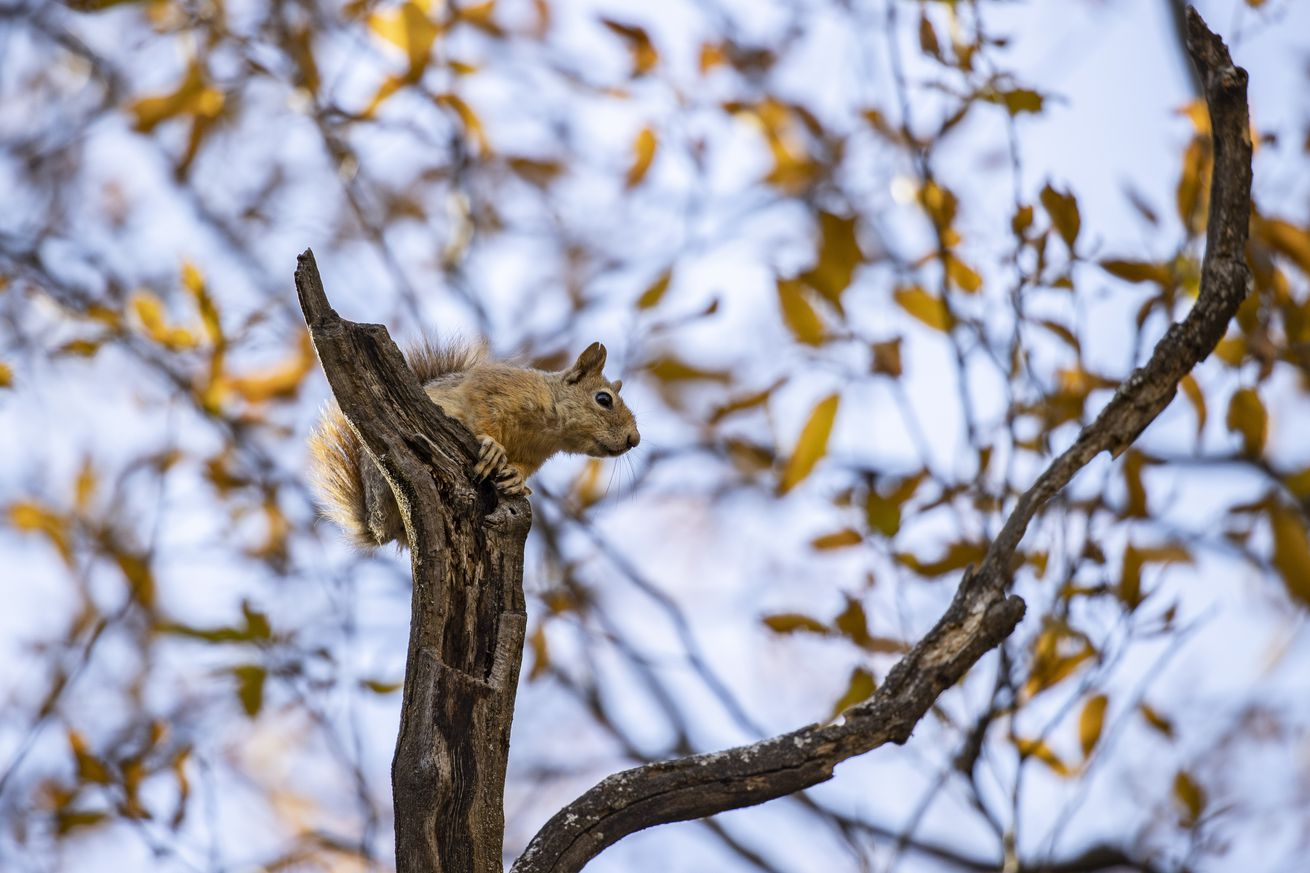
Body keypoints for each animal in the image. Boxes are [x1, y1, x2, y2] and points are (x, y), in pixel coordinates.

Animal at [306, 338, 634, 547]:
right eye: (603, 399)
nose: (635, 439)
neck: (548, 430)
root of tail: (376, 524)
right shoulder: (493, 387)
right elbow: (481, 412)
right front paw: (493, 448)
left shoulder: (536, 454)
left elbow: (524, 467)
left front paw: (516, 478)